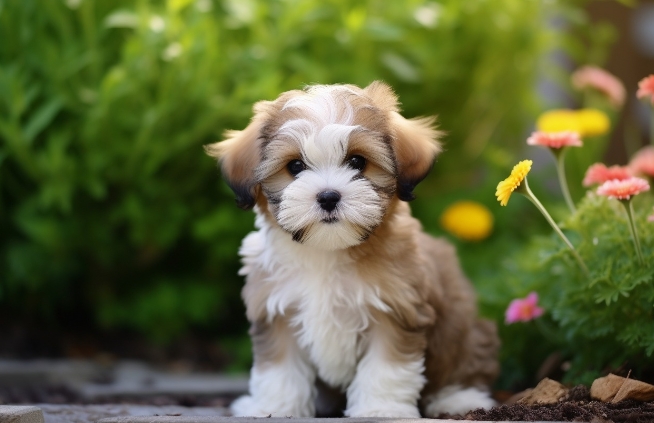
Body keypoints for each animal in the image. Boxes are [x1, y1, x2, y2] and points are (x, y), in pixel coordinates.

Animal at [206, 81, 502, 420]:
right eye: (295, 166)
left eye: (357, 162)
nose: (328, 196)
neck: (326, 250)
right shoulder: (275, 308)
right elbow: (280, 369)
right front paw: (273, 408)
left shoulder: (396, 307)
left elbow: (386, 367)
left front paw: (382, 408)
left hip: (461, 325)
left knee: (464, 359)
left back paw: (458, 398)